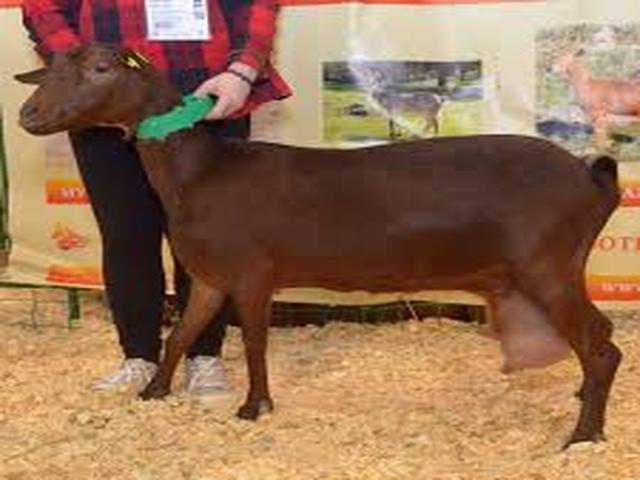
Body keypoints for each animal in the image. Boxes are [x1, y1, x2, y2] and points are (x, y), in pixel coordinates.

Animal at [16, 44, 621, 448]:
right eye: (50, 71)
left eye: (100, 69)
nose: (27, 114)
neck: (197, 173)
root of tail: (591, 176)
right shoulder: (210, 276)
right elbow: (181, 335)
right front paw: (153, 394)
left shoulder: (254, 272)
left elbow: (254, 343)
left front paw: (253, 406)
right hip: (563, 265)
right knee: (602, 333)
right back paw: (581, 404)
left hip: (546, 264)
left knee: (602, 348)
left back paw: (583, 436)